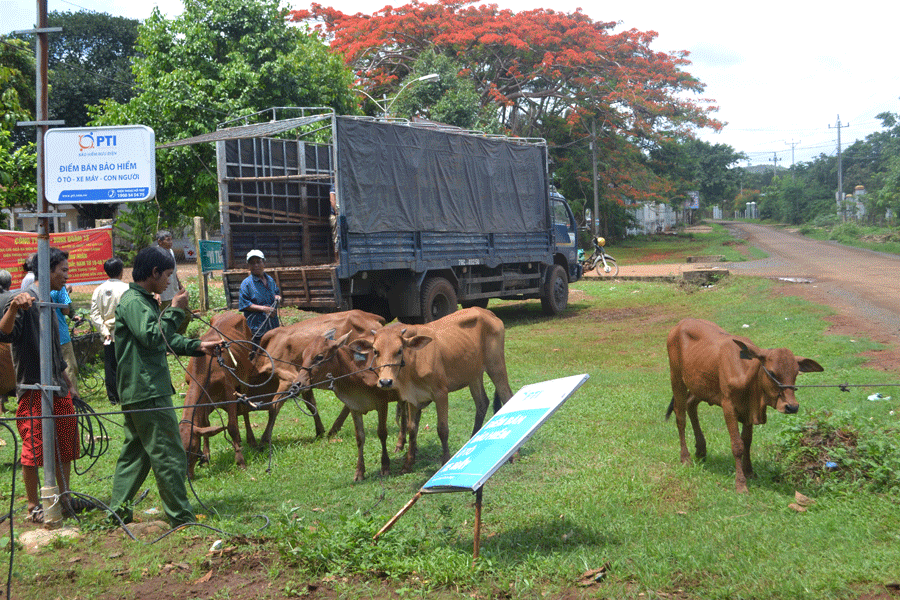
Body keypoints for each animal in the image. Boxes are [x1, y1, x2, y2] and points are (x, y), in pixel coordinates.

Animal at [350, 310, 510, 474]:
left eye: (399, 350)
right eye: (376, 351)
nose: (385, 382)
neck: (413, 363)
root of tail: (486, 312)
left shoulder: (441, 393)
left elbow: (442, 429)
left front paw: (445, 460)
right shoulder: (412, 398)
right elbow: (412, 428)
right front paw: (408, 464)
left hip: (496, 366)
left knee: (507, 396)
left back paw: (512, 456)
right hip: (473, 374)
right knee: (482, 403)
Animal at [668, 318, 824, 492]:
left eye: (796, 373)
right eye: (772, 373)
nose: (792, 407)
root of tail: (681, 323)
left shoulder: (748, 410)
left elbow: (747, 441)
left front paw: (749, 471)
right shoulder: (728, 406)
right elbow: (737, 445)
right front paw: (741, 483)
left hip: (699, 385)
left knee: (690, 405)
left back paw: (701, 450)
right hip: (676, 378)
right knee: (680, 416)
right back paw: (685, 457)